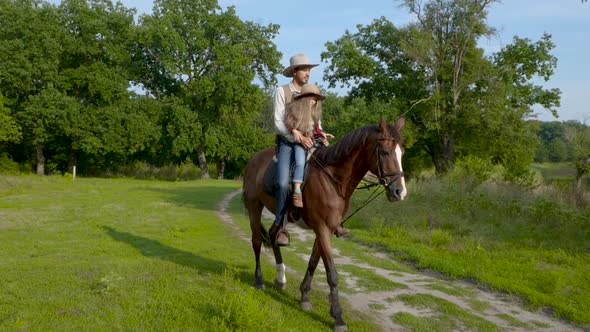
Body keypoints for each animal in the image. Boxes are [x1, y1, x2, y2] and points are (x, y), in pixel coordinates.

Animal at [242, 116, 408, 330]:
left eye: (402, 153)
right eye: (386, 152)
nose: (399, 192)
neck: (333, 179)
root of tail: (253, 159)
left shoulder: (325, 230)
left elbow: (313, 262)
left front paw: (304, 297)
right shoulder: (321, 228)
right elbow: (332, 274)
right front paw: (338, 317)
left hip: (278, 215)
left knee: (273, 235)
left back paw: (280, 279)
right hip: (254, 208)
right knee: (256, 241)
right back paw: (259, 280)